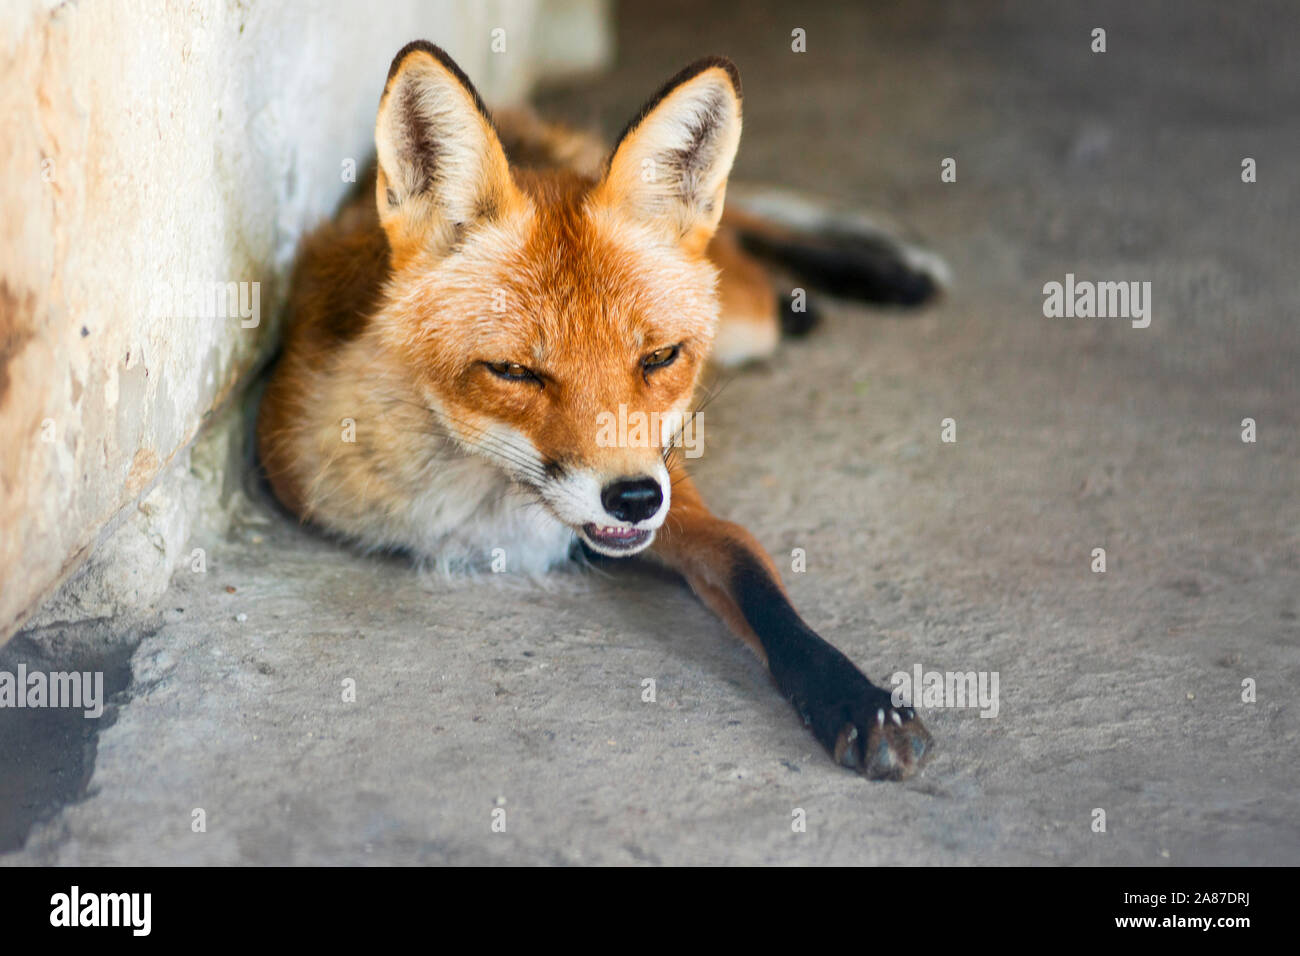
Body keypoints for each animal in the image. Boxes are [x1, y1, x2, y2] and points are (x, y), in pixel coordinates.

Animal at [257, 41, 946, 779]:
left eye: (660, 358)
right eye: (514, 372)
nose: (635, 499)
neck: (489, 504)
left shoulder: (677, 491)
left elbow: (753, 573)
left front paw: (856, 699)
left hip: (744, 320)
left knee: (744, 229)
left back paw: (879, 274)